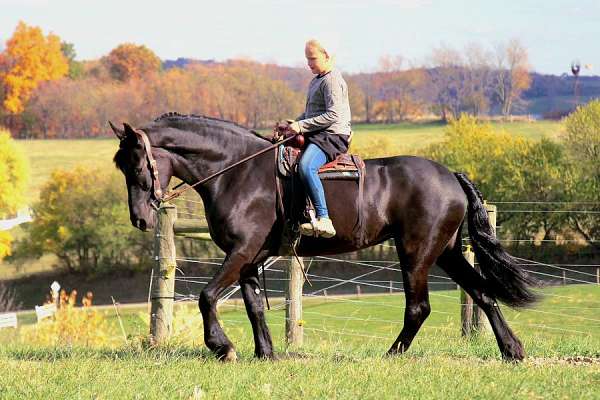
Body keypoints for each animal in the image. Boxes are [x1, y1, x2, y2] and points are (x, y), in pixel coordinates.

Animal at [112, 113, 540, 362]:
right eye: (122, 166)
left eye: (137, 165)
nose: (140, 218)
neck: (238, 172)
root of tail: (450, 174)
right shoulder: (249, 258)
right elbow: (254, 307)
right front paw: (265, 354)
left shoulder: (241, 252)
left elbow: (206, 296)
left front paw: (222, 347)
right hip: (446, 252)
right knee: (483, 293)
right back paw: (512, 350)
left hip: (417, 253)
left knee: (419, 307)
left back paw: (392, 355)